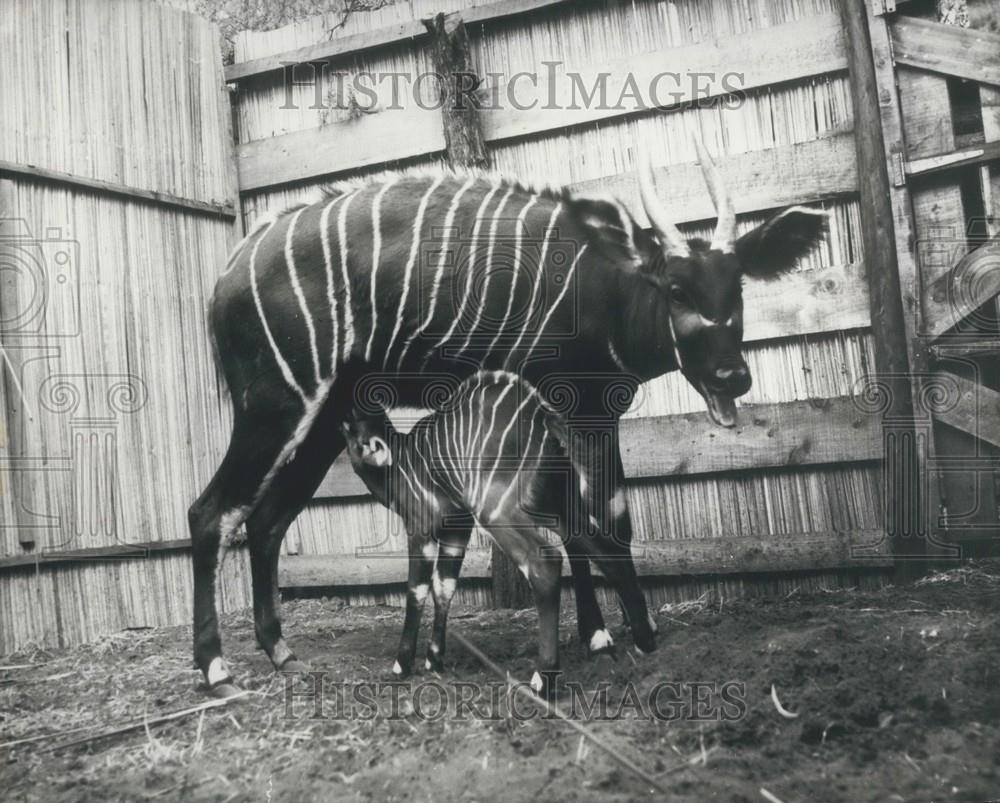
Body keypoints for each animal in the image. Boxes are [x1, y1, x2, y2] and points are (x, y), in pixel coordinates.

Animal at [342, 370, 632, 696]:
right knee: (606, 545)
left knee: (546, 561)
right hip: (561, 508)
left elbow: (416, 589)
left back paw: (542, 678)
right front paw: (433, 661)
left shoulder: (420, 528)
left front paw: (401, 665)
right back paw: (638, 642)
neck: (400, 464)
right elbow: (444, 586)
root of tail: (543, 420)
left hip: (499, 512)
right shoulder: (457, 529)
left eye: (350, 425)